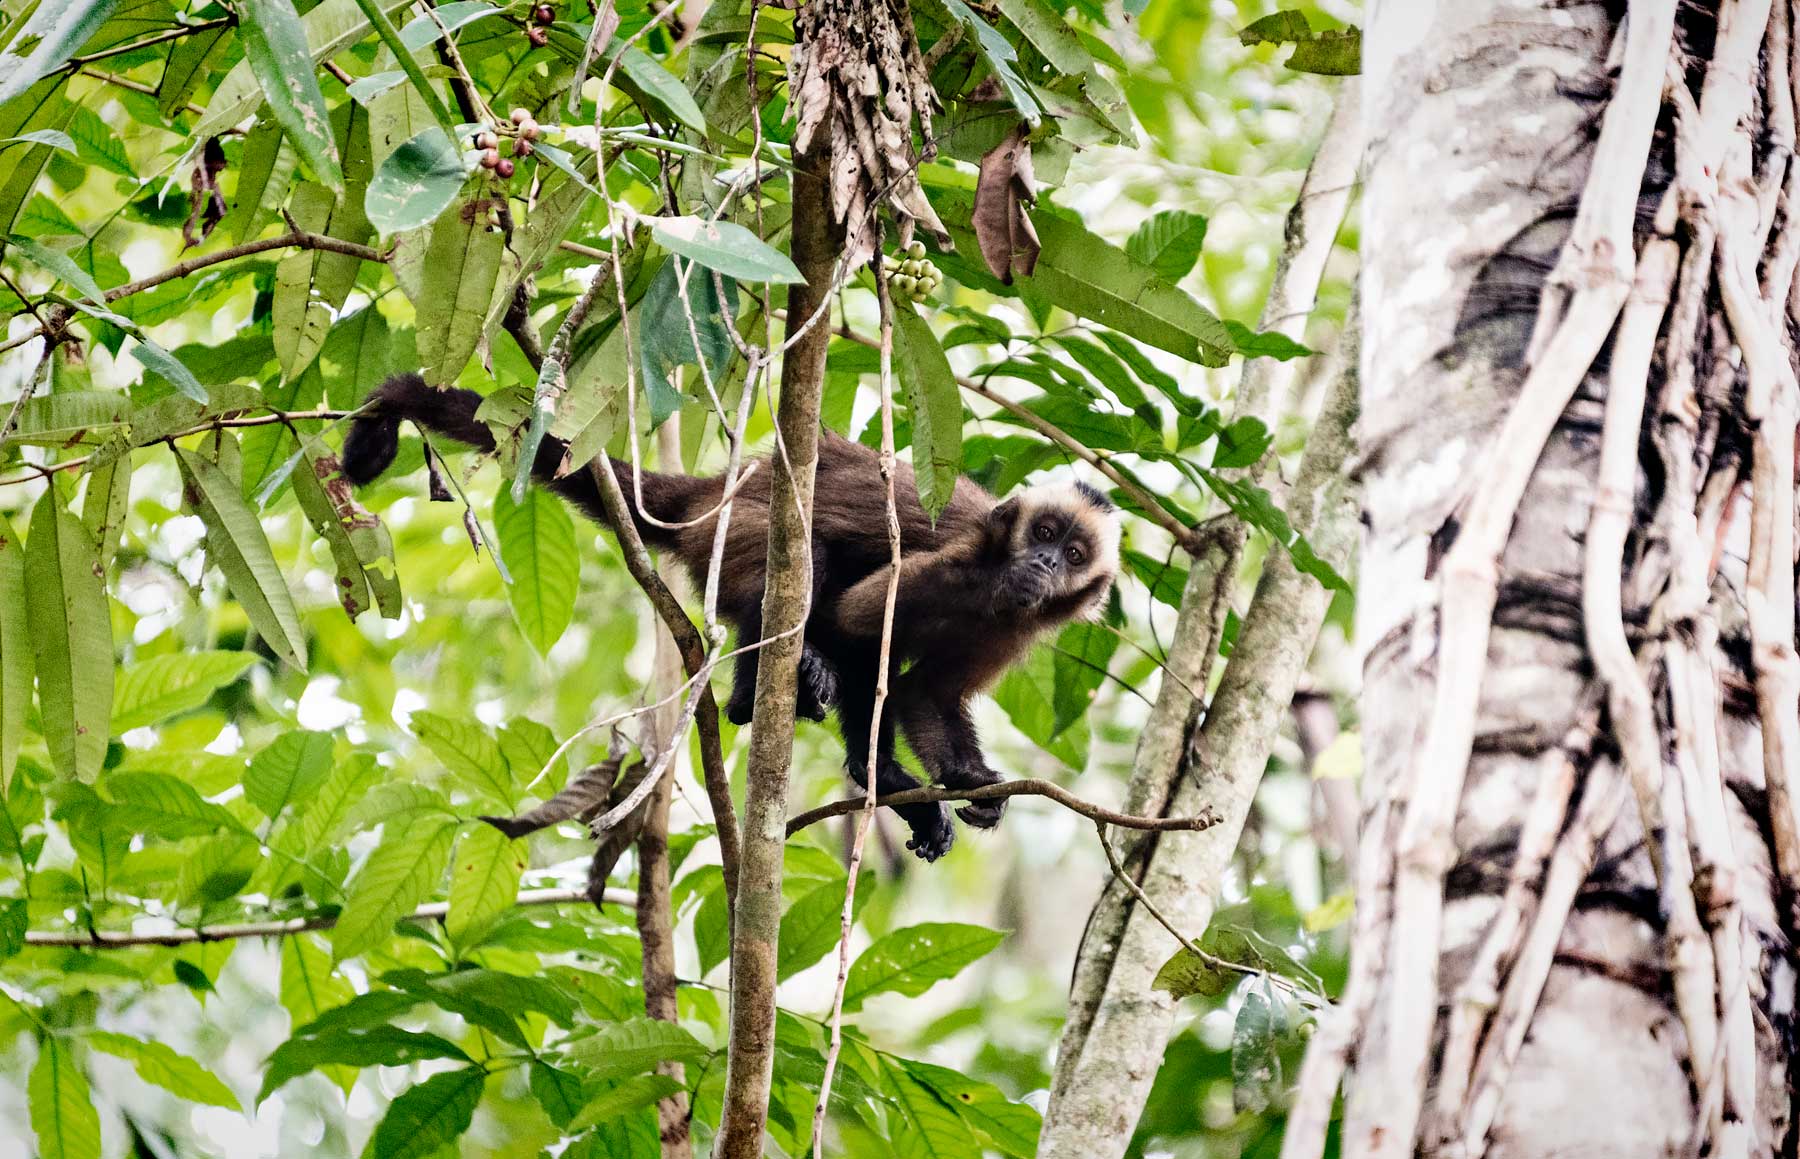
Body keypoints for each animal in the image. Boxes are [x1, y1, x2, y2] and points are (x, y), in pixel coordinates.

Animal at [341, 372, 1121, 860]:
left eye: (1073, 550)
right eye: (1044, 530)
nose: (1043, 563)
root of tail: (714, 490)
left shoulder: (1015, 629)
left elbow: (927, 690)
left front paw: (963, 779)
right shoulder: (964, 556)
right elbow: (858, 618)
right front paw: (882, 776)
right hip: (739, 529)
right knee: (805, 565)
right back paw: (762, 699)